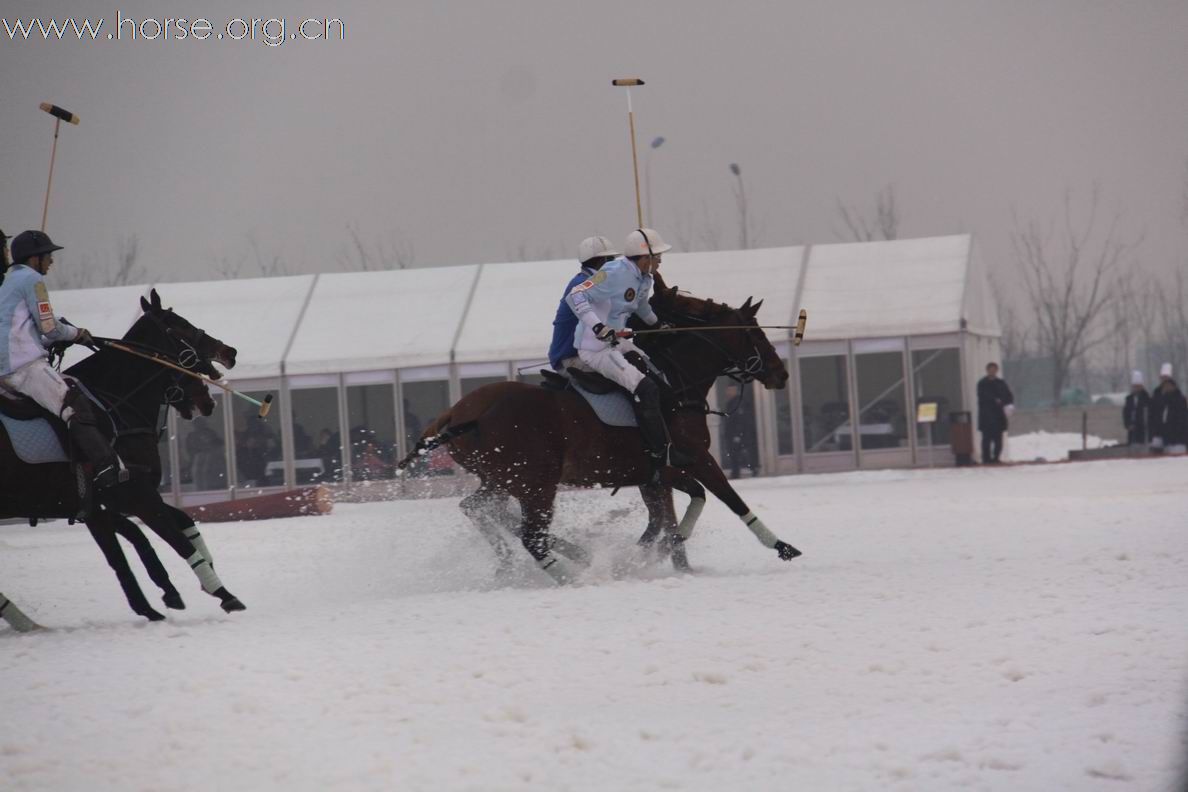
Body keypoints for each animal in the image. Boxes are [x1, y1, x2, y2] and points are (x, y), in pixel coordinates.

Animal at [0, 290, 245, 617]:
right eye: (181, 325)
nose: (229, 351)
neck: (116, 404)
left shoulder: (101, 507)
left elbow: (145, 544)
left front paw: (165, 600)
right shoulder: (133, 496)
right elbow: (176, 541)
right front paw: (224, 594)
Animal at [403, 281, 803, 579]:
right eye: (754, 334)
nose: (782, 374)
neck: (675, 380)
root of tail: (459, 413)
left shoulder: (656, 471)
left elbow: (675, 511)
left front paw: (652, 556)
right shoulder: (694, 457)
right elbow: (729, 498)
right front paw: (782, 546)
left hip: (501, 479)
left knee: (479, 510)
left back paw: (524, 562)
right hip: (536, 482)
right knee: (531, 535)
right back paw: (573, 575)